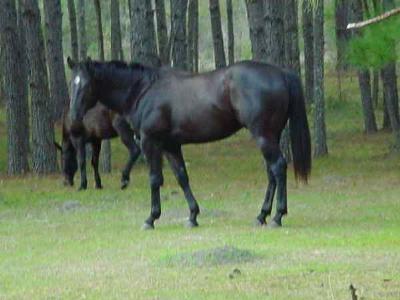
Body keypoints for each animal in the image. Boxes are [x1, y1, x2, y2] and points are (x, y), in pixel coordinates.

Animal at [66, 57, 310, 229]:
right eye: (72, 84)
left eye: (85, 85)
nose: (74, 117)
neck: (144, 90)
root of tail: (281, 73)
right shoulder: (170, 145)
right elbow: (182, 177)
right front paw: (193, 215)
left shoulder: (150, 142)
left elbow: (155, 179)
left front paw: (151, 218)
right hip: (270, 137)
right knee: (272, 173)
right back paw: (262, 215)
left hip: (263, 136)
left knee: (278, 167)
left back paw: (277, 216)